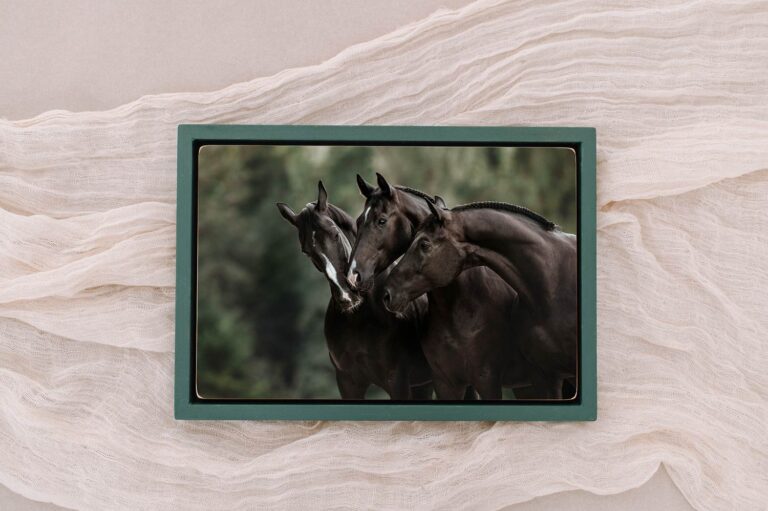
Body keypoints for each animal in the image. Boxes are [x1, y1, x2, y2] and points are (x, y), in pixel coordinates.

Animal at [276, 181, 433, 400]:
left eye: (335, 233)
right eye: (306, 251)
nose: (346, 295)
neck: (362, 318)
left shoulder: (398, 381)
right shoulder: (348, 381)